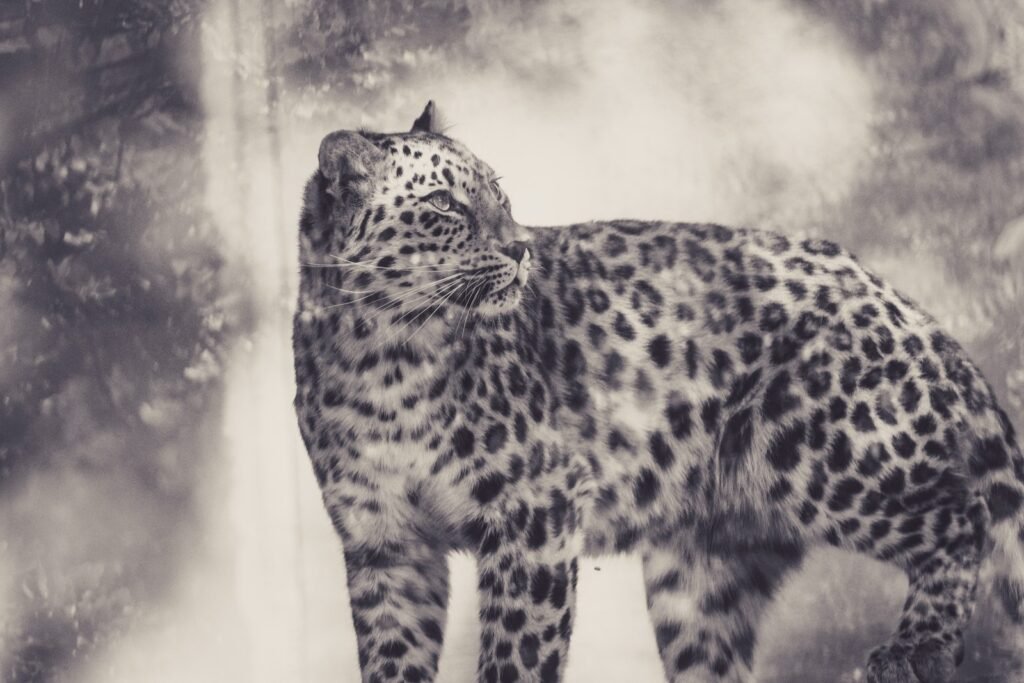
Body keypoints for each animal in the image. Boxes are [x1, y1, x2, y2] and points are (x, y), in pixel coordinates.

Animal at [292, 101, 1024, 683]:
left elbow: (516, 655)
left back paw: (917, 649)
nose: (522, 248)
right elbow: (392, 658)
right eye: (444, 204)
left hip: (824, 451)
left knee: (965, 513)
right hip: (703, 573)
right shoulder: (385, 543)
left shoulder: (536, 509)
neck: (379, 353)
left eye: (500, 195)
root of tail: (892, 294)